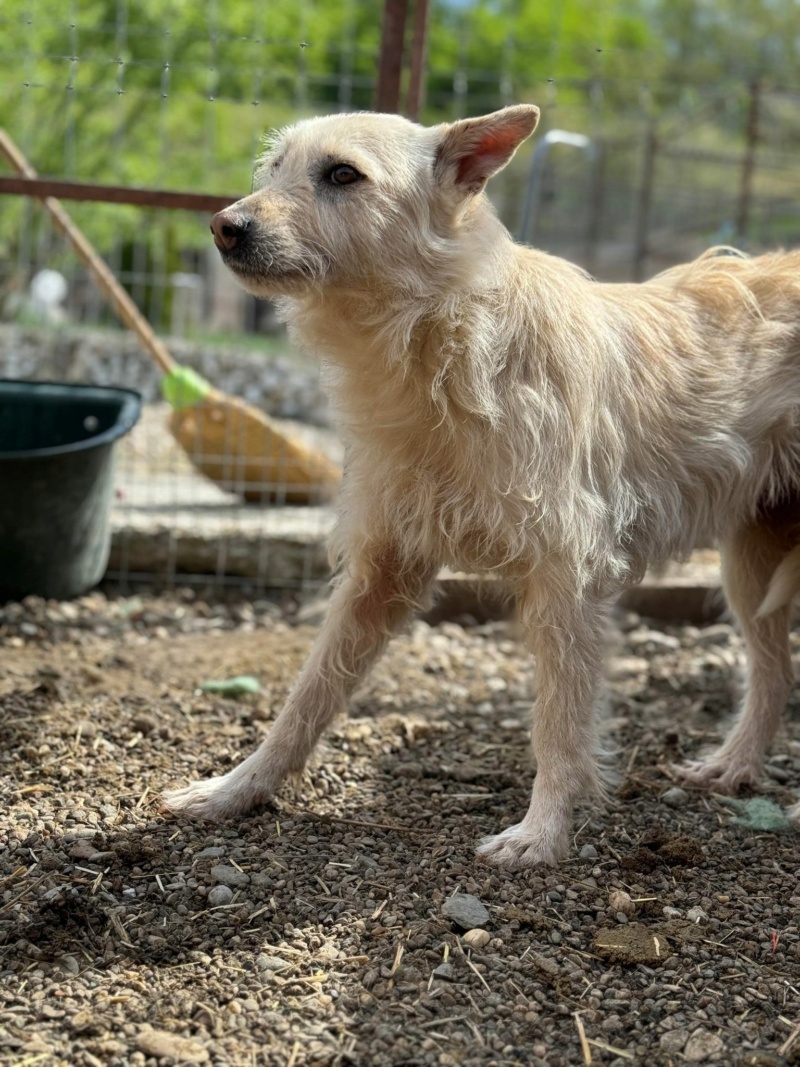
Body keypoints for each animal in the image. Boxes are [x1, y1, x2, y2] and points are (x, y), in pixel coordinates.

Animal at [164, 101, 800, 866]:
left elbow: (559, 722)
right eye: (275, 167)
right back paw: (735, 765)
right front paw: (237, 789)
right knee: (775, 673)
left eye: (342, 175)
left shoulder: (567, 581)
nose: (224, 225)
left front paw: (543, 833)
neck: (440, 342)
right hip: (753, 564)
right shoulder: (384, 569)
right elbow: (306, 697)